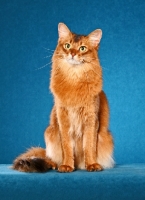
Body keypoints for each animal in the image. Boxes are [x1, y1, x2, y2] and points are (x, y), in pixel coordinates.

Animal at [12, 21, 114, 172]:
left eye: (82, 48)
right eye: (67, 46)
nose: (72, 54)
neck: (74, 79)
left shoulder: (91, 118)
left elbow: (89, 146)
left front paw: (91, 164)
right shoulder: (62, 117)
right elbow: (66, 146)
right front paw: (67, 165)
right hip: (50, 133)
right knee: (48, 156)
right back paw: (53, 164)